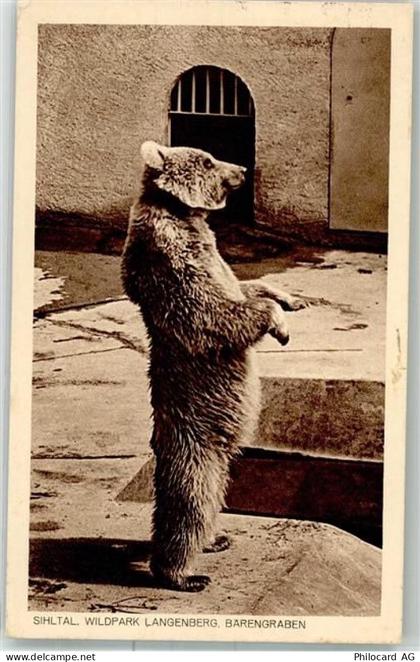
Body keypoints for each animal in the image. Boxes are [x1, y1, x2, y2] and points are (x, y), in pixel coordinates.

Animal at [121, 141, 303, 592]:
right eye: (207, 158)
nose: (242, 168)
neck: (184, 214)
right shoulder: (174, 261)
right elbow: (214, 311)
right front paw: (279, 324)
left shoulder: (213, 255)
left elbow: (246, 285)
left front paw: (290, 298)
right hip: (194, 443)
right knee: (190, 502)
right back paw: (182, 573)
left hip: (219, 458)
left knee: (217, 494)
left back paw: (217, 538)